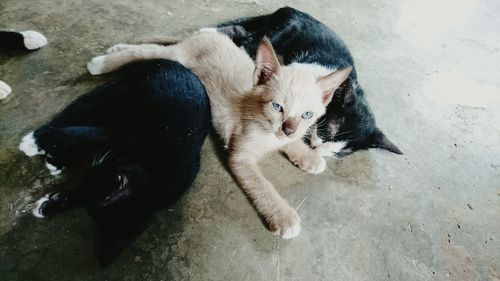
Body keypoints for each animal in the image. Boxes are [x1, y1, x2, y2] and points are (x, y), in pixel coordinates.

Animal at [19, 59, 210, 264]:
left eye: (94, 179)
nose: (92, 168)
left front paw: (49, 205)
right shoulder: (117, 137)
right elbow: (77, 134)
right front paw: (40, 141)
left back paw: (53, 158)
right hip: (115, 94)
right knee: (75, 112)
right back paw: (36, 141)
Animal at [87, 29, 352, 237]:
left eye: (307, 114)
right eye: (277, 107)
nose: (288, 128)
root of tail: (209, 32)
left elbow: (292, 143)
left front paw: (310, 157)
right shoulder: (240, 156)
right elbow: (261, 184)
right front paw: (283, 217)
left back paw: (116, 48)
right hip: (178, 57)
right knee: (148, 51)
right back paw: (100, 62)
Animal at [218, 7, 402, 155]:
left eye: (343, 153)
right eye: (327, 133)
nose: (318, 150)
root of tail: (288, 8)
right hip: (285, 27)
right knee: (251, 39)